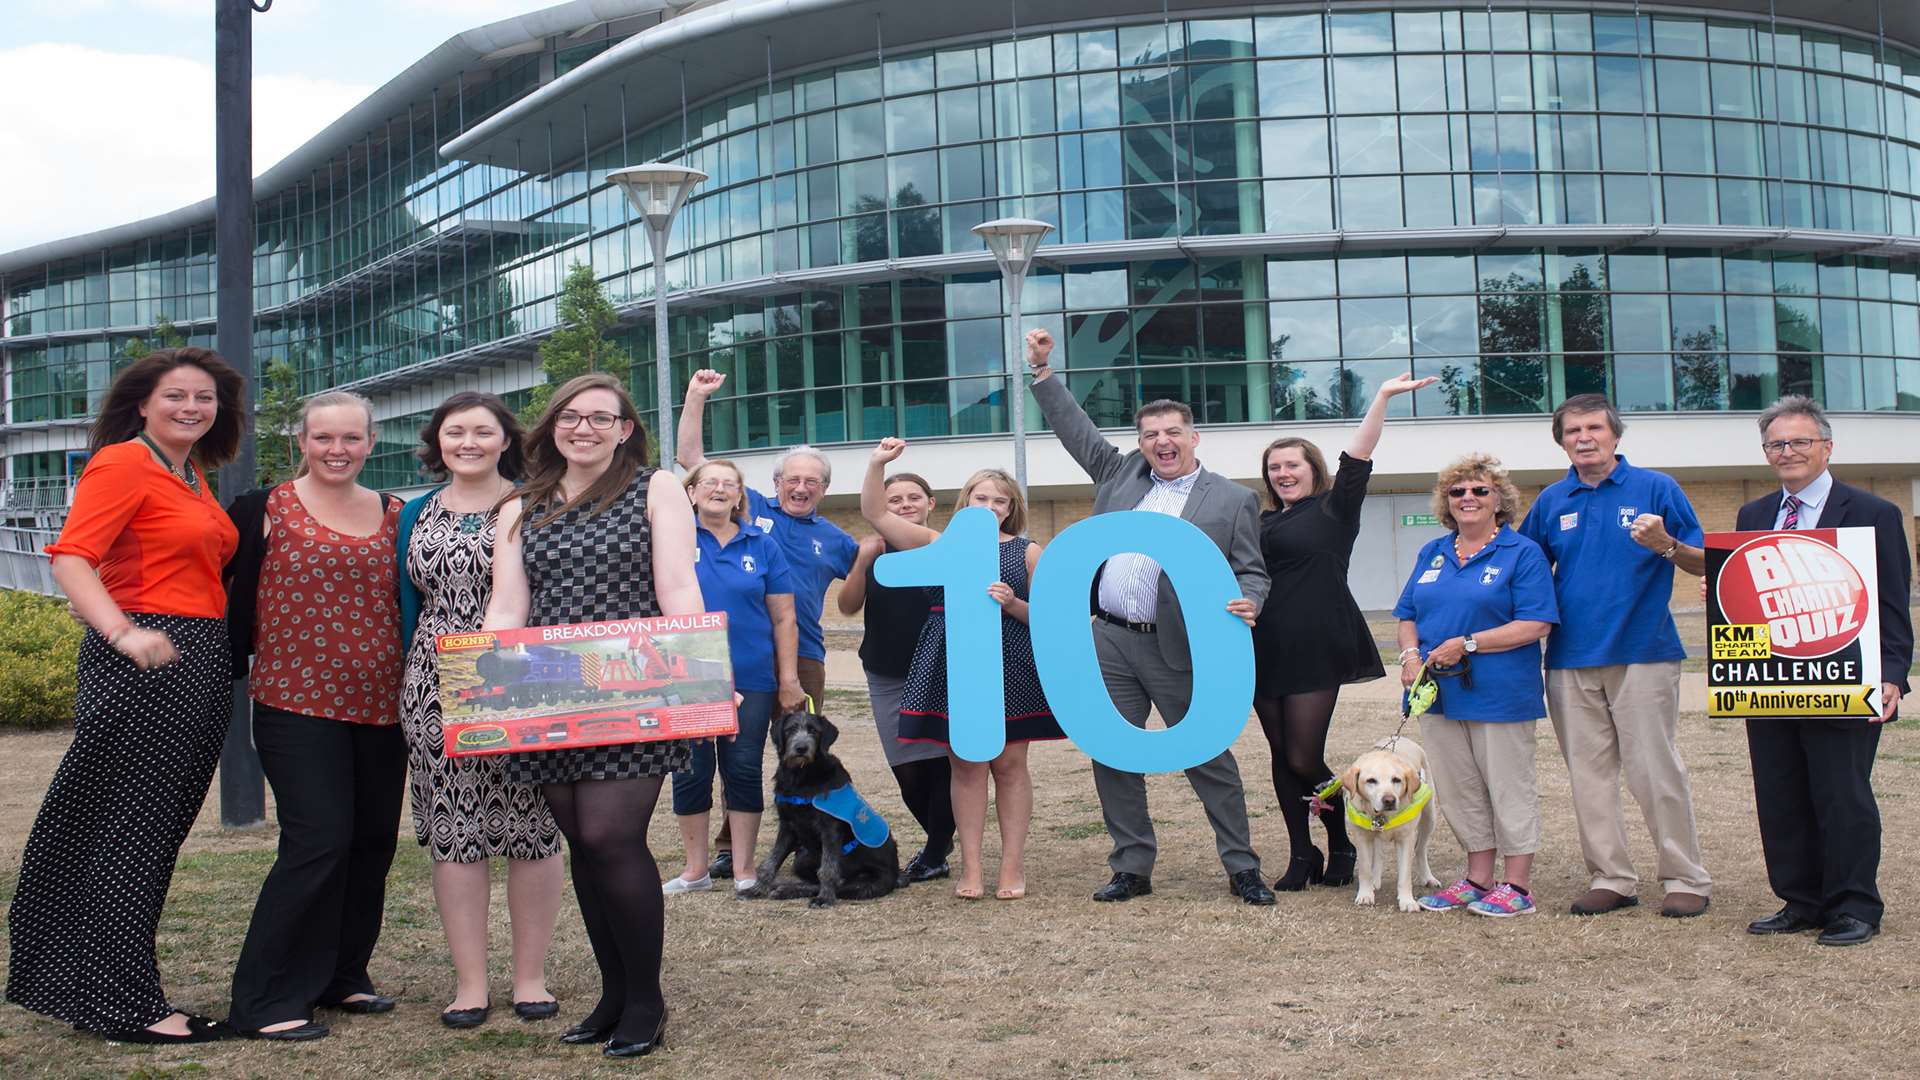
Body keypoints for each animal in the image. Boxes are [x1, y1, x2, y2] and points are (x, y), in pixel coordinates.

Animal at [733, 703, 898, 903]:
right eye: (790, 729)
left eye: (813, 731)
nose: (801, 748)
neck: (801, 776)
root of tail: (897, 873)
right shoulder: (787, 826)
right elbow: (771, 862)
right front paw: (756, 890)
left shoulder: (829, 829)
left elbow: (827, 870)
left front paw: (825, 897)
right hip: (803, 858)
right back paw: (783, 888)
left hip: (865, 883)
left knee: (837, 884)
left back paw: (791, 890)